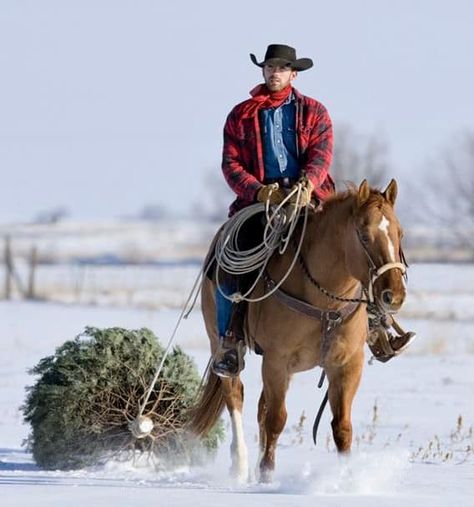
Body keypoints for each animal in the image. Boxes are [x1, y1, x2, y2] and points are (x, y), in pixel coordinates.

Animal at [189, 180, 408, 484]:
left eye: (399, 233)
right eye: (364, 236)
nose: (394, 296)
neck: (325, 301)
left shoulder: (347, 365)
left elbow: (342, 427)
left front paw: (345, 480)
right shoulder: (277, 361)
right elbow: (276, 419)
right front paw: (266, 476)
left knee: (260, 406)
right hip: (220, 344)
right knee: (235, 394)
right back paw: (240, 466)